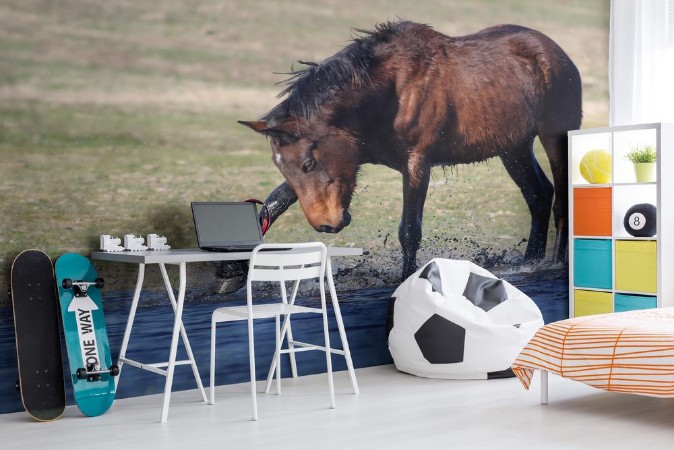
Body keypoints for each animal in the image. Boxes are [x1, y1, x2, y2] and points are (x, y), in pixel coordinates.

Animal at [239, 22, 580, 282]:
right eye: (283, 166)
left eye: (308, 162)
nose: (326, 224)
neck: (388, 93)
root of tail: (557, 53)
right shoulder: (358, 153)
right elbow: (274, 201)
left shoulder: (417, 162)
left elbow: (409, 230)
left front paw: (407, 278)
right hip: (514, 149)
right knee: (539, 195)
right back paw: (530, 262)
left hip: (554, 138)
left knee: (561, 201)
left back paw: (557, 262)